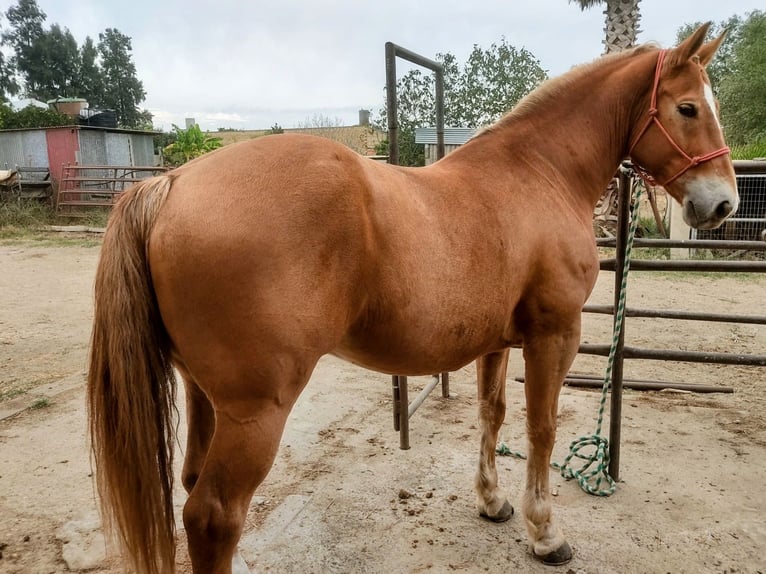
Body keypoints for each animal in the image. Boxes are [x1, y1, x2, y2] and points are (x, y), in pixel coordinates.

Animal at [88, 23, 736, 574]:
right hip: (255, 411)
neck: (539, 173)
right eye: (687, 108)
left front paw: (492, 502)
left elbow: (492, 414)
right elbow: (542, 428)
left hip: (202, 394)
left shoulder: (499, 340)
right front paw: (545, 533)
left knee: (192, 483)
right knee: (214, 515)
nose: (723, 203)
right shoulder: (555, 334)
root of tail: (171, 183)